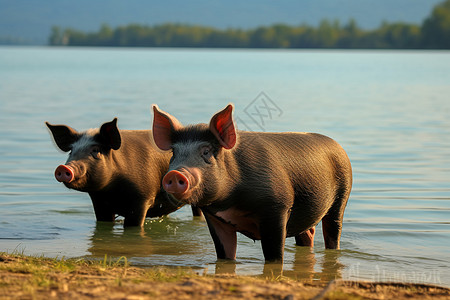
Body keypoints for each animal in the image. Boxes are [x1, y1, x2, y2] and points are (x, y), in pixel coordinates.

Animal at [45, 118, 200, 226]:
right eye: (71, 151)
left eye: (95, 150)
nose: (63, 167)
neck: (112, 190)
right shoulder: (100, 203)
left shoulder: (142, 199)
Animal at [151, 103, 352, 262]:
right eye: (174, 153)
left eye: (206, 152)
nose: (175, 173)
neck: (229, 202)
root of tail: (338, 146)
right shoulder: (215, 218)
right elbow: (225, 253)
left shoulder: (277, 207)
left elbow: (274, 255)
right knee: (307, 233)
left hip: (343, 194)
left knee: (333, 230)